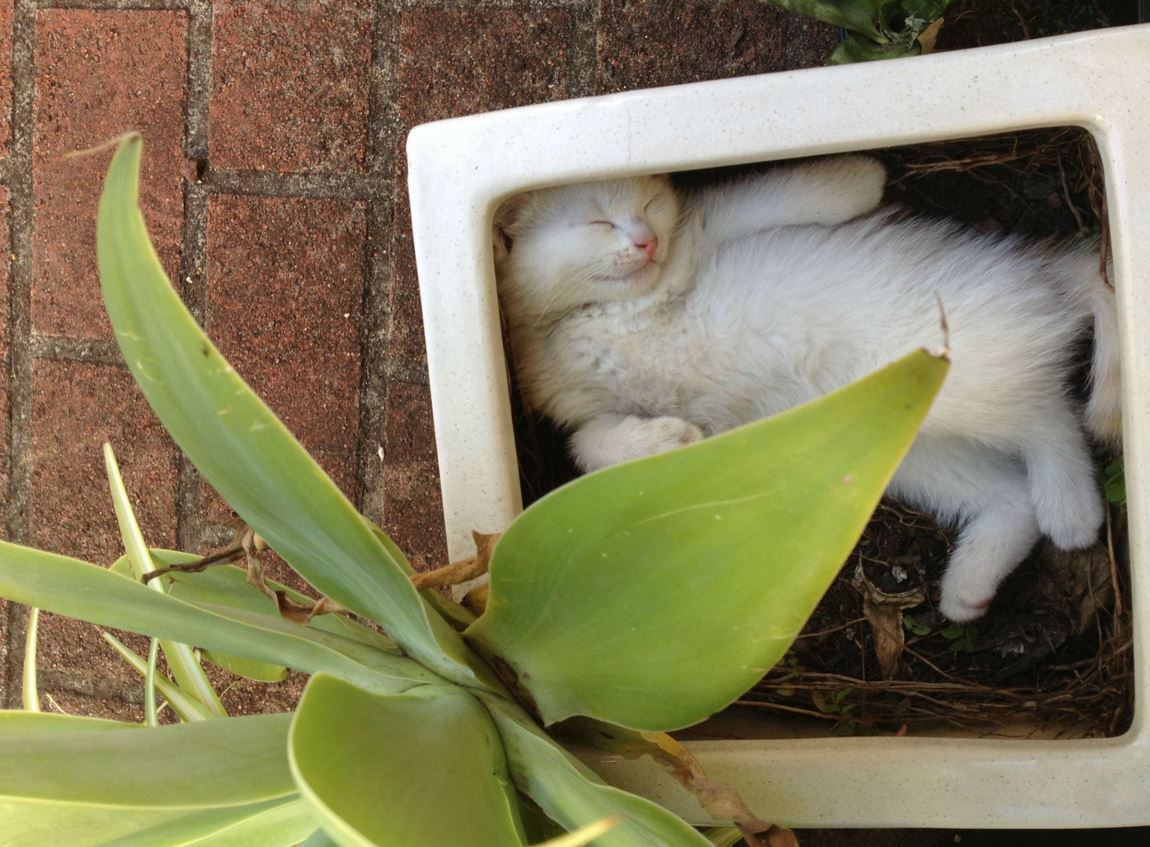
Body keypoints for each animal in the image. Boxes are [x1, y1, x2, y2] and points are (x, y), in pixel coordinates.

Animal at [496, 157, 1122, 620]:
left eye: (649, 207)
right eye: (597, 222)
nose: (647, 241)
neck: (602, 312)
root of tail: (1040, 279)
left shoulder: (703, 236)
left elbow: (773, 196)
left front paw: (858, 177)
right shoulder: (576, 404)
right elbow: (589, 444)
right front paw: (666, 439)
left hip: (966, 374)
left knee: (1051, 415)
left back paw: (1069, 505)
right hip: (910, 441)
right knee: (1010, 493)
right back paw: (970, 584)